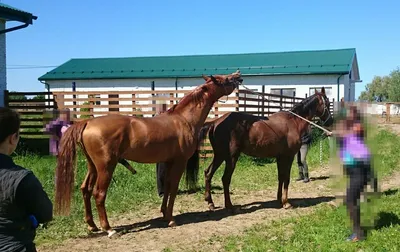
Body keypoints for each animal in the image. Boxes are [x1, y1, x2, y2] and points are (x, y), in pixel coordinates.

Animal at [54, 70, 242, 236]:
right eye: (225, 79)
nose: (238, 77)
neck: (184, 119)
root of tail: (87, 123)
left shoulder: (169, 161)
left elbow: (167, 186)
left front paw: (164, 214)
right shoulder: (180, 161)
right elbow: (174, 187)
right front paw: (171, 219)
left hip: (92, 166)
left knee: (85, 189)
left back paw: (92, 225)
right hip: (106, 167)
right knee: (98, 194)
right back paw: (108, 229)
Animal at [191, 86, 334, 211]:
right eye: (327, 102)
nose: (330, 121)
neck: (293, 121)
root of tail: (215, 122)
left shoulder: (280, 157)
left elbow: (280, 177)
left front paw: (279, 199)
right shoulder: (288, 157)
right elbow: (286, 178)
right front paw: (286, 203)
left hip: (220, 155)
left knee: (208, 173)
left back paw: (210, 202)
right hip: (231, 157)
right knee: (225, 179)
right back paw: (230, 206)